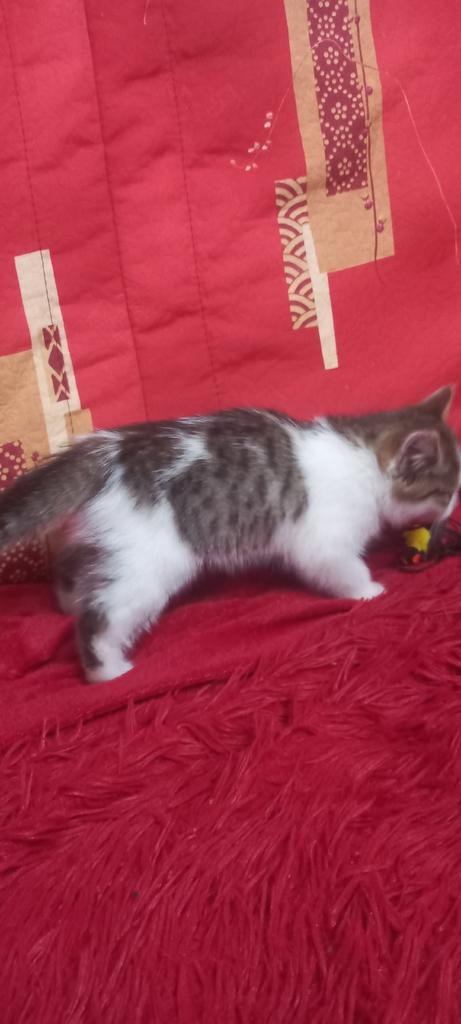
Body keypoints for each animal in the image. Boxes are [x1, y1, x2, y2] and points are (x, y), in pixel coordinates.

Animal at [0, 386, 458, 684]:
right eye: (446, 490)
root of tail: (109, 450)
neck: (362, 456)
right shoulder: (323, 538)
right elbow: (341, 568)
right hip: (147, 561)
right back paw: (107, 671)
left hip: (106, 538)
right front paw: (369, 591)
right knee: (102, 616)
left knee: (71, 566)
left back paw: (67, 599)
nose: (453, 510)